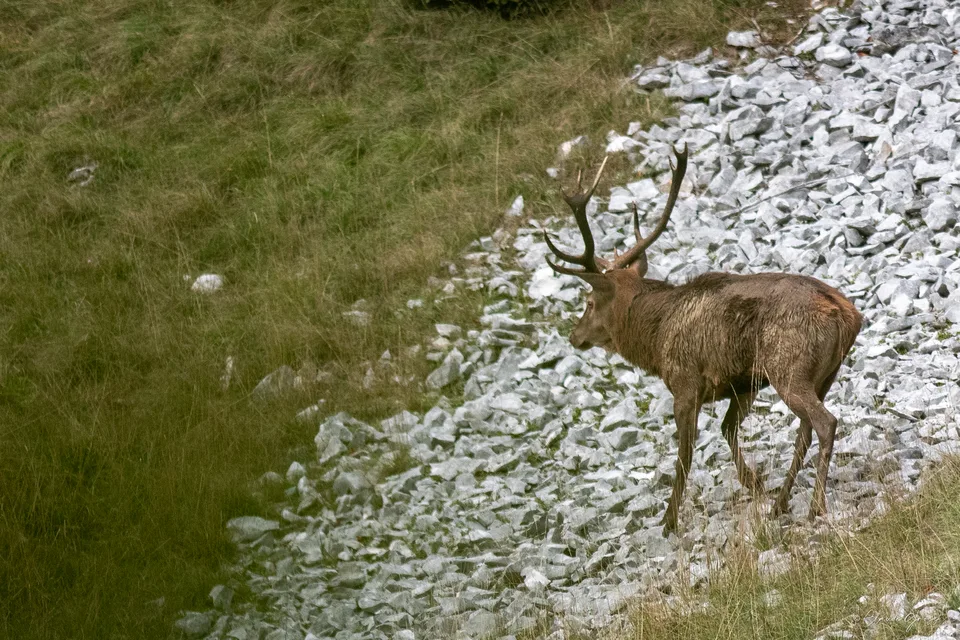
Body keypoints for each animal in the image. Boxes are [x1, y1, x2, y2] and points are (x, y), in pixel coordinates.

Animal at [544, 145, 862, 534]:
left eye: (588, 303)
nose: (574, 336)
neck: (656, 340)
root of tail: (847, 313)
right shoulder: (742, 384)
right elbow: (727, 430)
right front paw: (754, 483)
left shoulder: (685, 383)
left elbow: (684, 455)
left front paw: (668, 520)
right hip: (824, 373)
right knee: (805, 428)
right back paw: (780, 503)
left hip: (788, 366)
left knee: (824, 422)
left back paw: (816, 506)